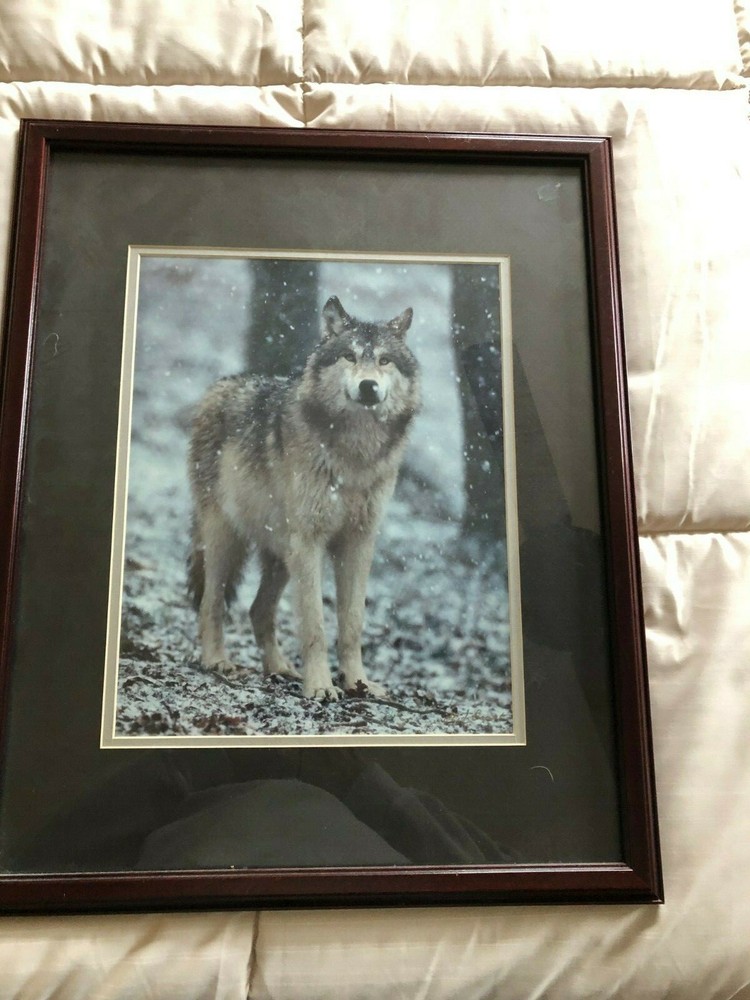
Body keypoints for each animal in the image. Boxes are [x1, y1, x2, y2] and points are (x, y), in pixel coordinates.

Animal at [188, 295, 420, 701]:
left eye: (384, 361)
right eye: (349, 356)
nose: (369, 387)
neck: (353, 456)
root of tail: (219, 386)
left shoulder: (358, 543)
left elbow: (352, 623)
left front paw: (358, 683)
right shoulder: (310, 542)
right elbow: (315, 624)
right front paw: (321, 687)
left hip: (282, 553)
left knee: (257, 610)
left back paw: (279, 669)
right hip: (227, 540)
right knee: (210, 603)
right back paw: (216, 661)